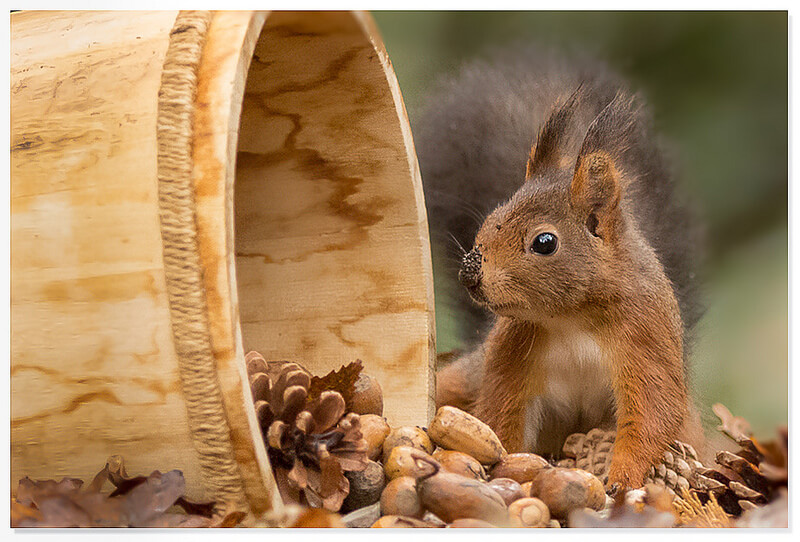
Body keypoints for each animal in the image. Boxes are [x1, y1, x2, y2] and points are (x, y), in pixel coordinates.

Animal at [416, 46, 706, 490]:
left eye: (544, 242)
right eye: (492, 217)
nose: (470, 274)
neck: (573, 319)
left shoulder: (645, 340)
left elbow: (653, 413)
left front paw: (622, 479)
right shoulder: (511, 353)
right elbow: (500, 415)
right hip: (463, 377)